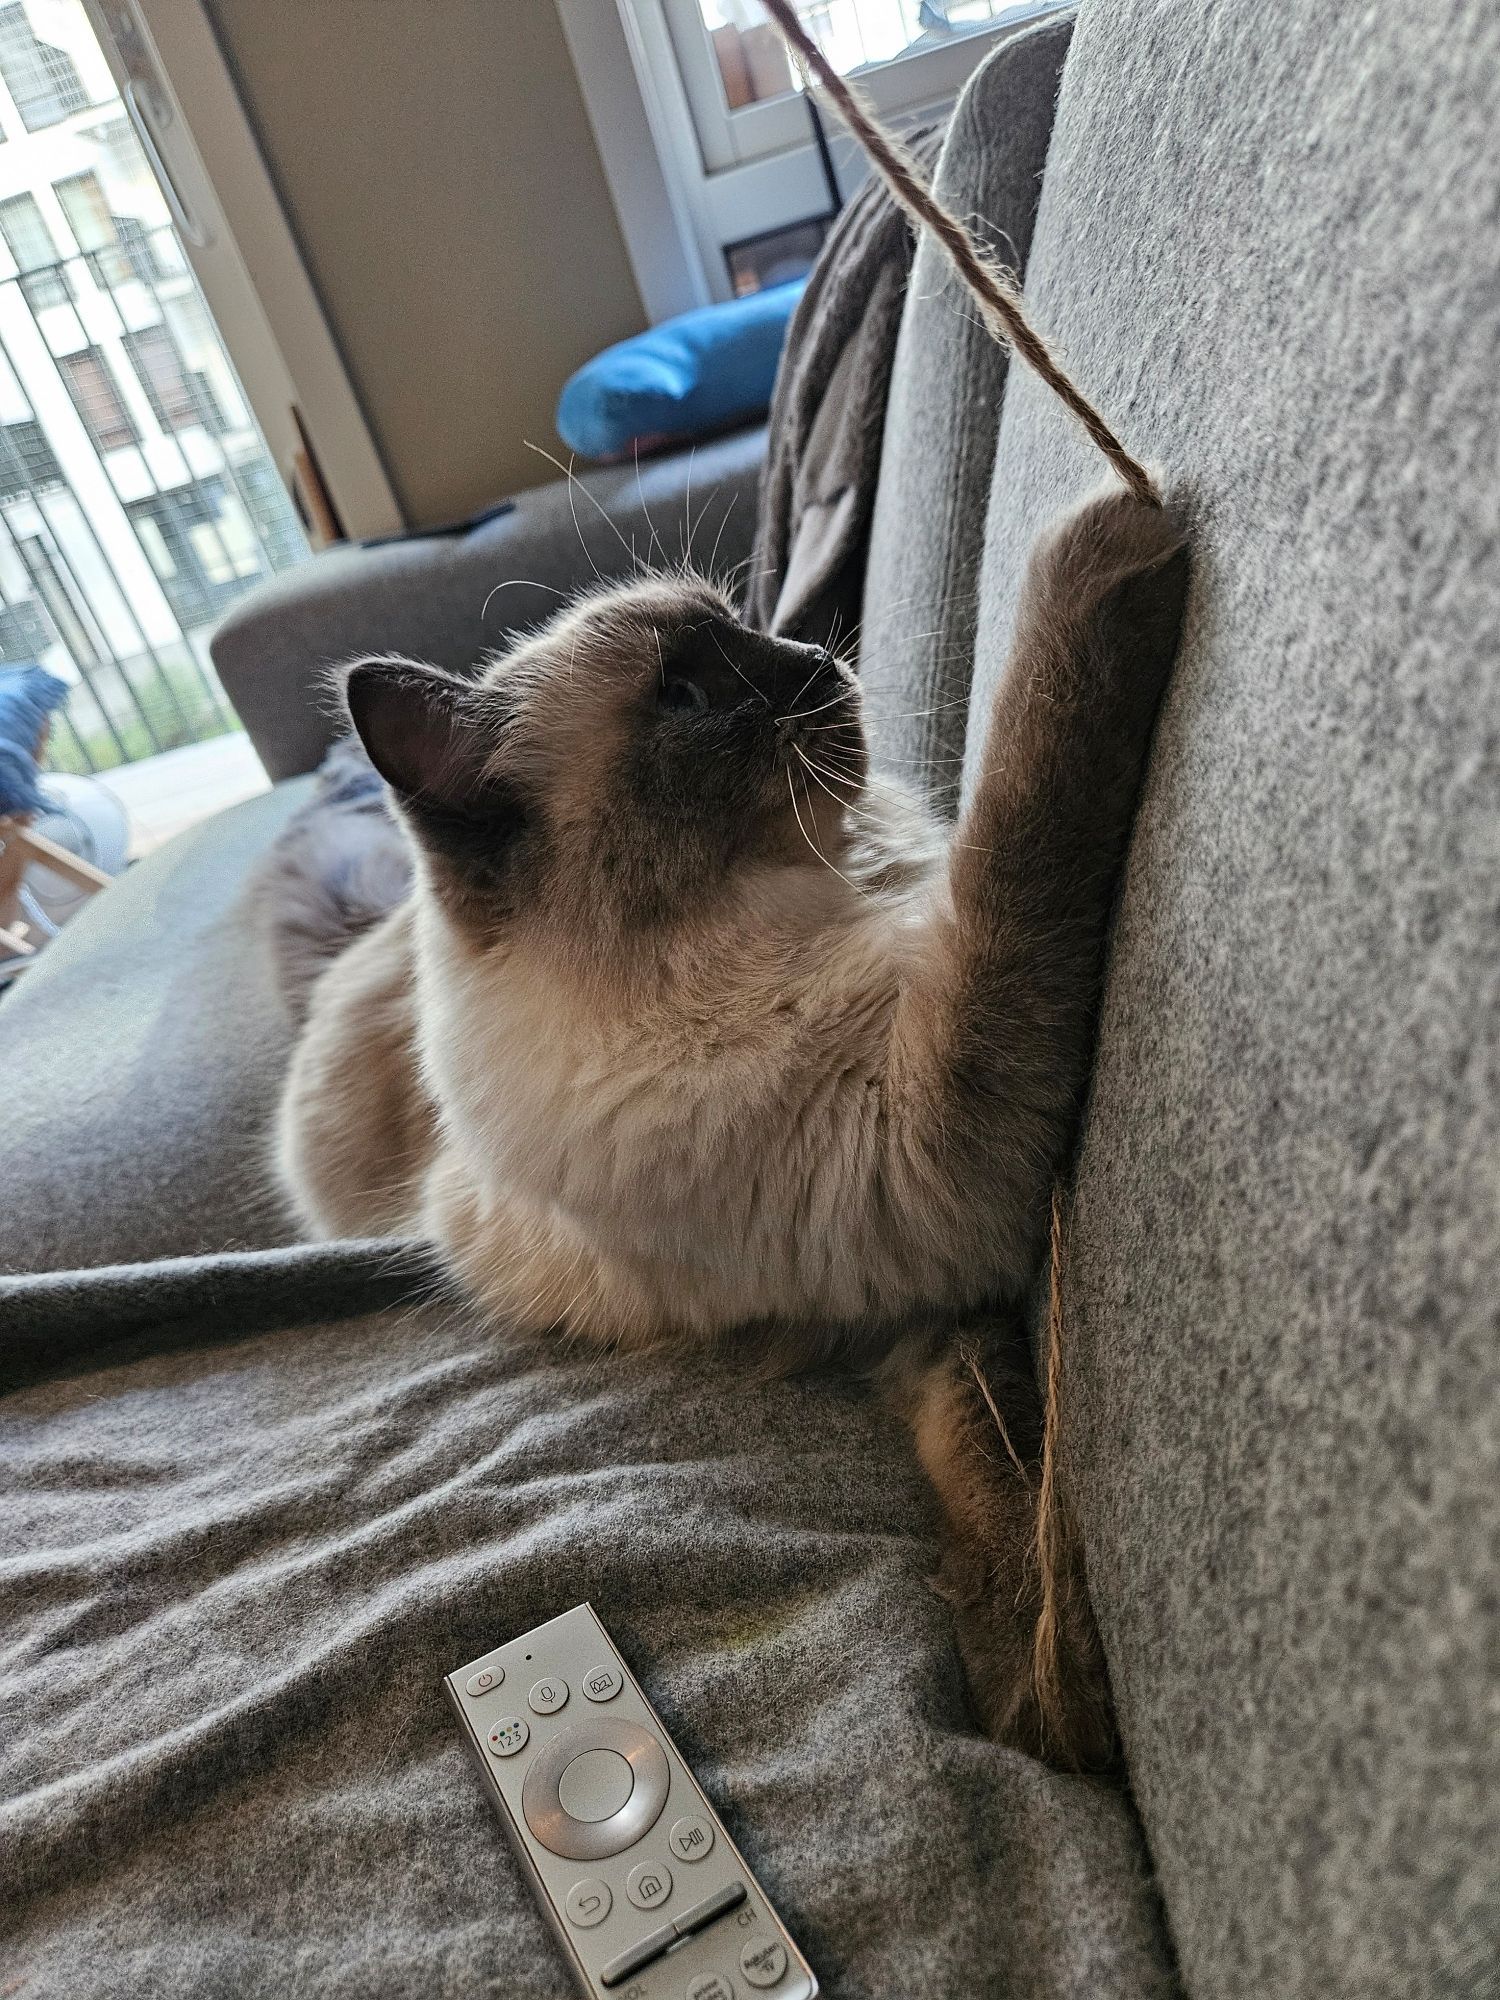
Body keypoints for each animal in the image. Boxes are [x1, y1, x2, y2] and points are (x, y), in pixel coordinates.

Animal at [270, 484, 1184, 1768]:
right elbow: (1012, 856)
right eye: (687, 694)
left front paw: (1039, 1686)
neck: (803, 902)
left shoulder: (924, 1289)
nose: (819, 655)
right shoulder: (924, 1160)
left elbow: (993, 1450)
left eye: (750, 625)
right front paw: (1108, 537)